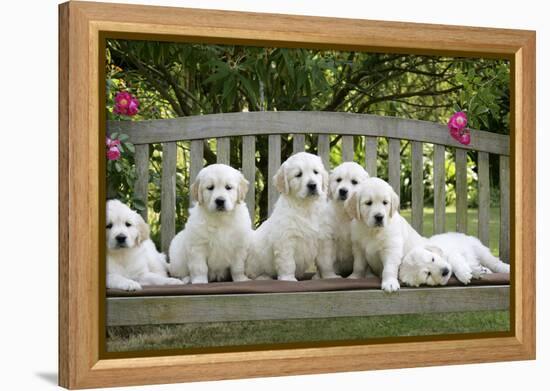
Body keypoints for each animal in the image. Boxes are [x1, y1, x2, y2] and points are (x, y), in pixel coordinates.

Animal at [246, 152, 332, 282]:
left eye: (316, 172)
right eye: (298, 174)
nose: (312, 185)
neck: (306, 207)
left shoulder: (322, 238)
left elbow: (326, 261)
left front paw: (330, 276)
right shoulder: (285, 240)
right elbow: (288, 263)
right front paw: (288, 279)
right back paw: (264, 277)